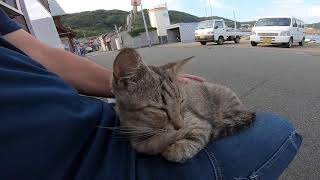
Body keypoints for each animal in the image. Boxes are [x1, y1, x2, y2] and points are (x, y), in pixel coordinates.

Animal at [112, 47, 255, 163]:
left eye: (181, 101)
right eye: (160, 109)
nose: (180, 126)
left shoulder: (200, 124)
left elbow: (185, 146)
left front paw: (173, 147)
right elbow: (145, 145)